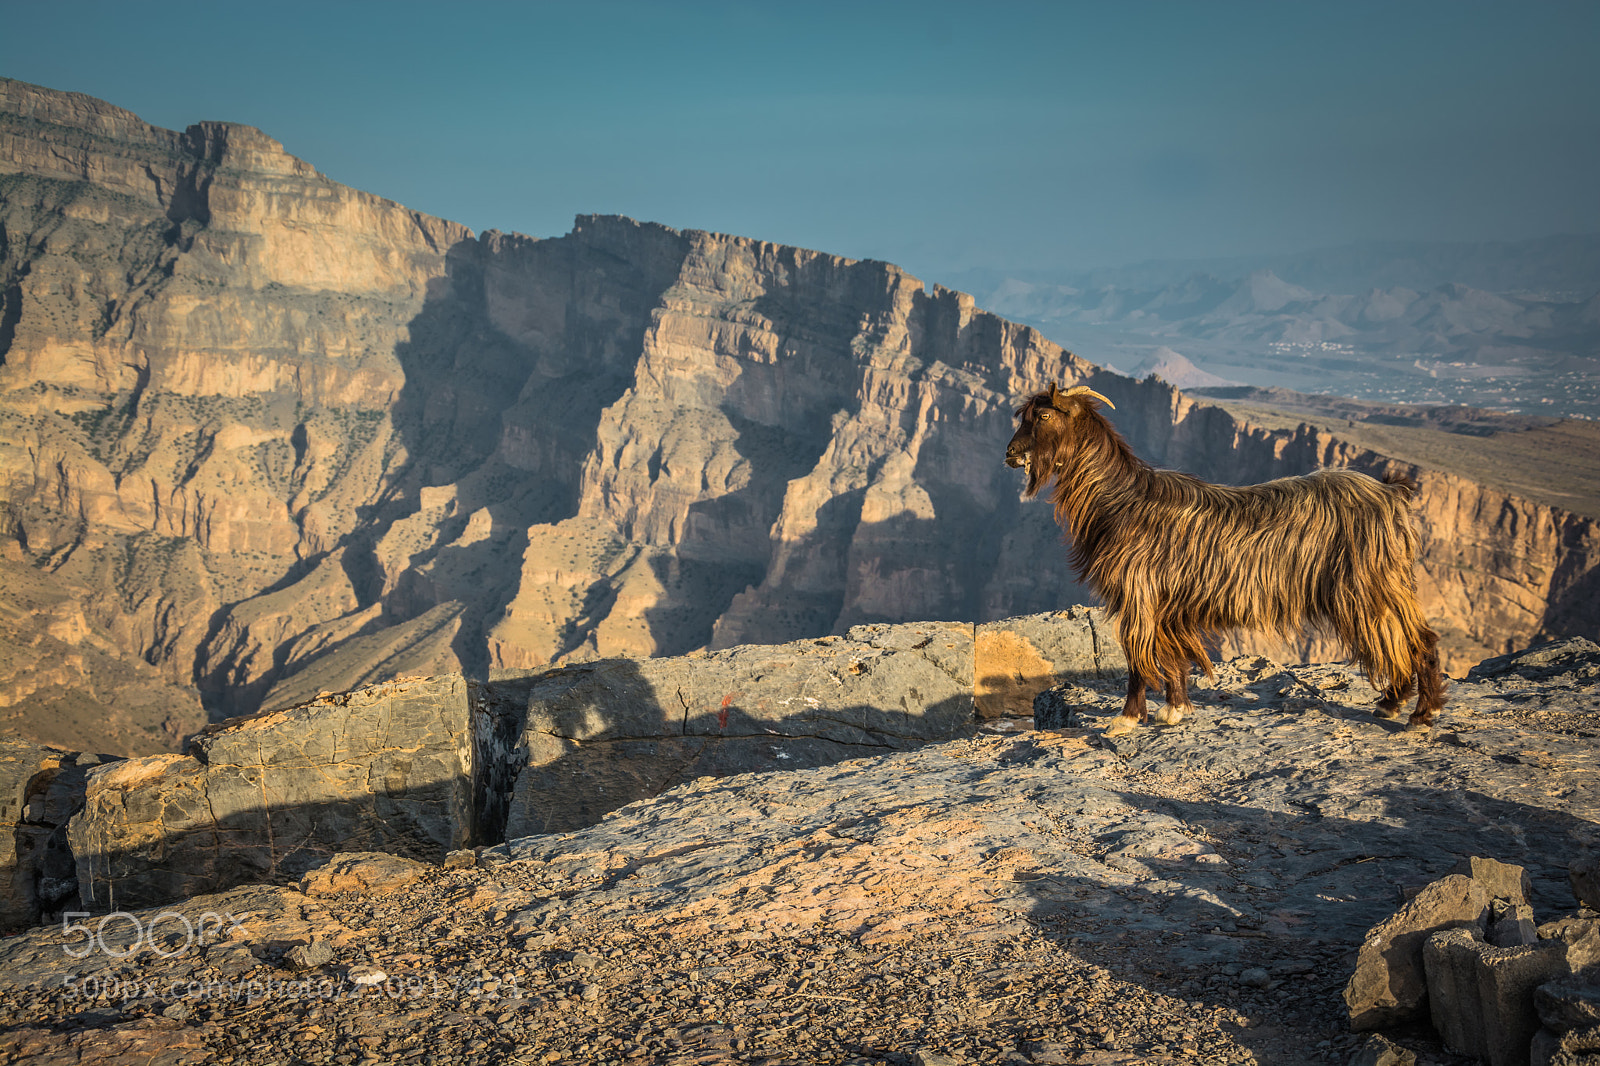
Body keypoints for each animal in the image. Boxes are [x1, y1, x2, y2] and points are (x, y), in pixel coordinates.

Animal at [1005, 382, 1444, 735]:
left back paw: (1422, 714)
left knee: (1418, 639)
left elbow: (1138, 657)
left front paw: (1127, 718)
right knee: (1399, 637)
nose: (1009, 453)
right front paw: (1176, 709)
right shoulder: (1168, 604)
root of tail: (1391, 494)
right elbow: (1173, 655)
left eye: (1042, 415)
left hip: (1368, 584)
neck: (1120, 501)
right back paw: (1391, 702)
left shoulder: (1139, 594)